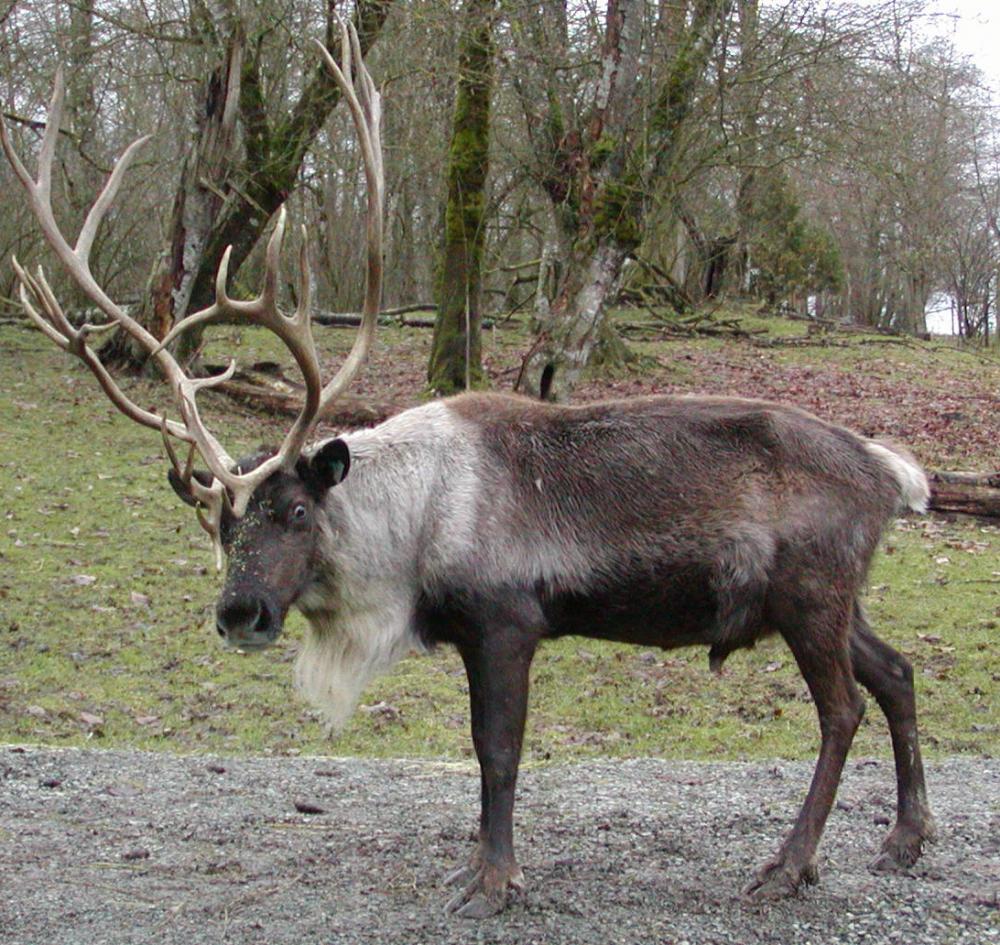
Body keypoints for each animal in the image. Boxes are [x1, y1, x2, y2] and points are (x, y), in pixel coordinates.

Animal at [3, 27, 936, 920]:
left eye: (296, 509)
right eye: (222, 521)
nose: (241, 613)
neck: (410, 532)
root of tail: (891, 472)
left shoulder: (506, 618)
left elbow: (499, 752)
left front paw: (493, 881)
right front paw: (481, 868)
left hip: (810, 594)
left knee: (843, 707)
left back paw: (789, 865)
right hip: (826, 598)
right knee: (895, 670)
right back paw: (903, 840)